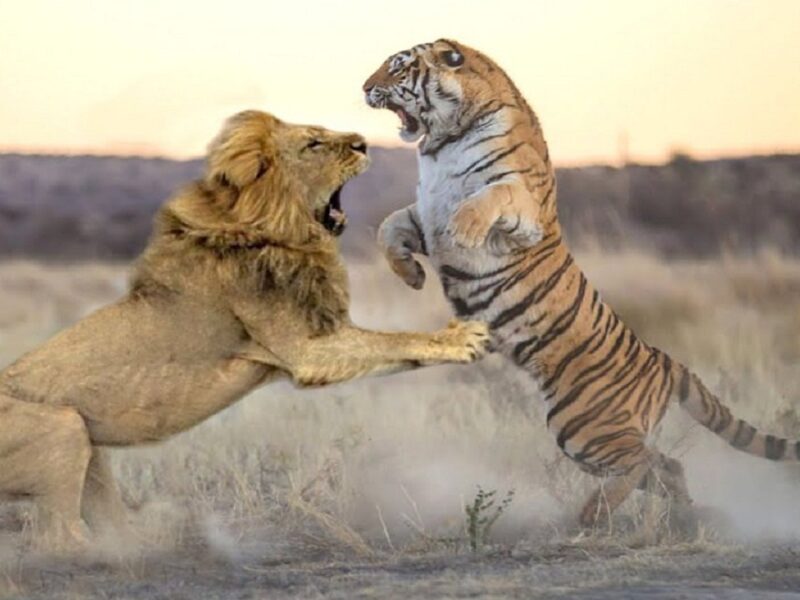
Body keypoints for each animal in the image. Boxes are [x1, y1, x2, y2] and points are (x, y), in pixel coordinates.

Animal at [0, 110, 489, 548]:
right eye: (313, 143)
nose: (363, 143)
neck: (274, 229)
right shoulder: (308, 350)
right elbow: (396, 341)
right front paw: (461, 338)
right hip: (63, 426)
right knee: (59, 540)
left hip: (89, 445)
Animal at [363, 38, 800, 526]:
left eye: (398, 68)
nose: (364, 87)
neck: (443, 142)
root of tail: (665, 360)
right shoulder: (424, 214)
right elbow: (388, 226)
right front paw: (411, 274)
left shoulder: (522, 209)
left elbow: (491, 197)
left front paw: (463, 232)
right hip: (590, 435)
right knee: (666, 464)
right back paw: (681, 517)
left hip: (583, 425)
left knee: (642, 461)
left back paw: (591, 517)